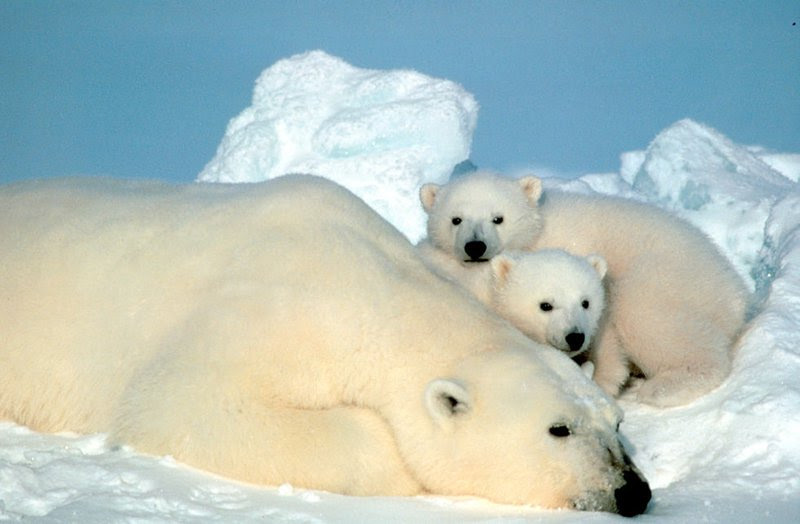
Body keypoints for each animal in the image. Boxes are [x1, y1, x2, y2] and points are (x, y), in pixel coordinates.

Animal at [418, 170, 752, 408]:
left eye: (498, 218)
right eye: (456, 219)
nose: (475, 246)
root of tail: (734, 291)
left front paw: (600, 380)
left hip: (667, 277)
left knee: (650, 317)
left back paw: (665, 387)